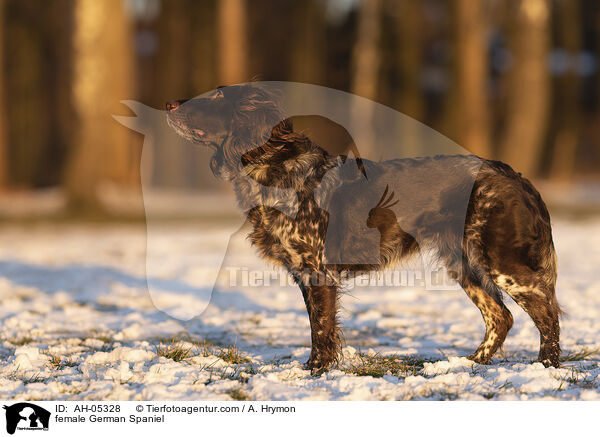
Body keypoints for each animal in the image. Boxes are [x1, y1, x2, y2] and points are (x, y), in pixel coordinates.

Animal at [165, 84, 564, 372]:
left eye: (218, 95)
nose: (167, 103)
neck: (276, 171)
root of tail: (513, 175)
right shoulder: (305, 273)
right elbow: (319, 329)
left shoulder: (318, 272)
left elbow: (322, 330)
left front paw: (316, 372)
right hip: (464, 263)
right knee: (501, 316)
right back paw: (471, 362)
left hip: (502, 262)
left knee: (547, 313)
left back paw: (546, 366)